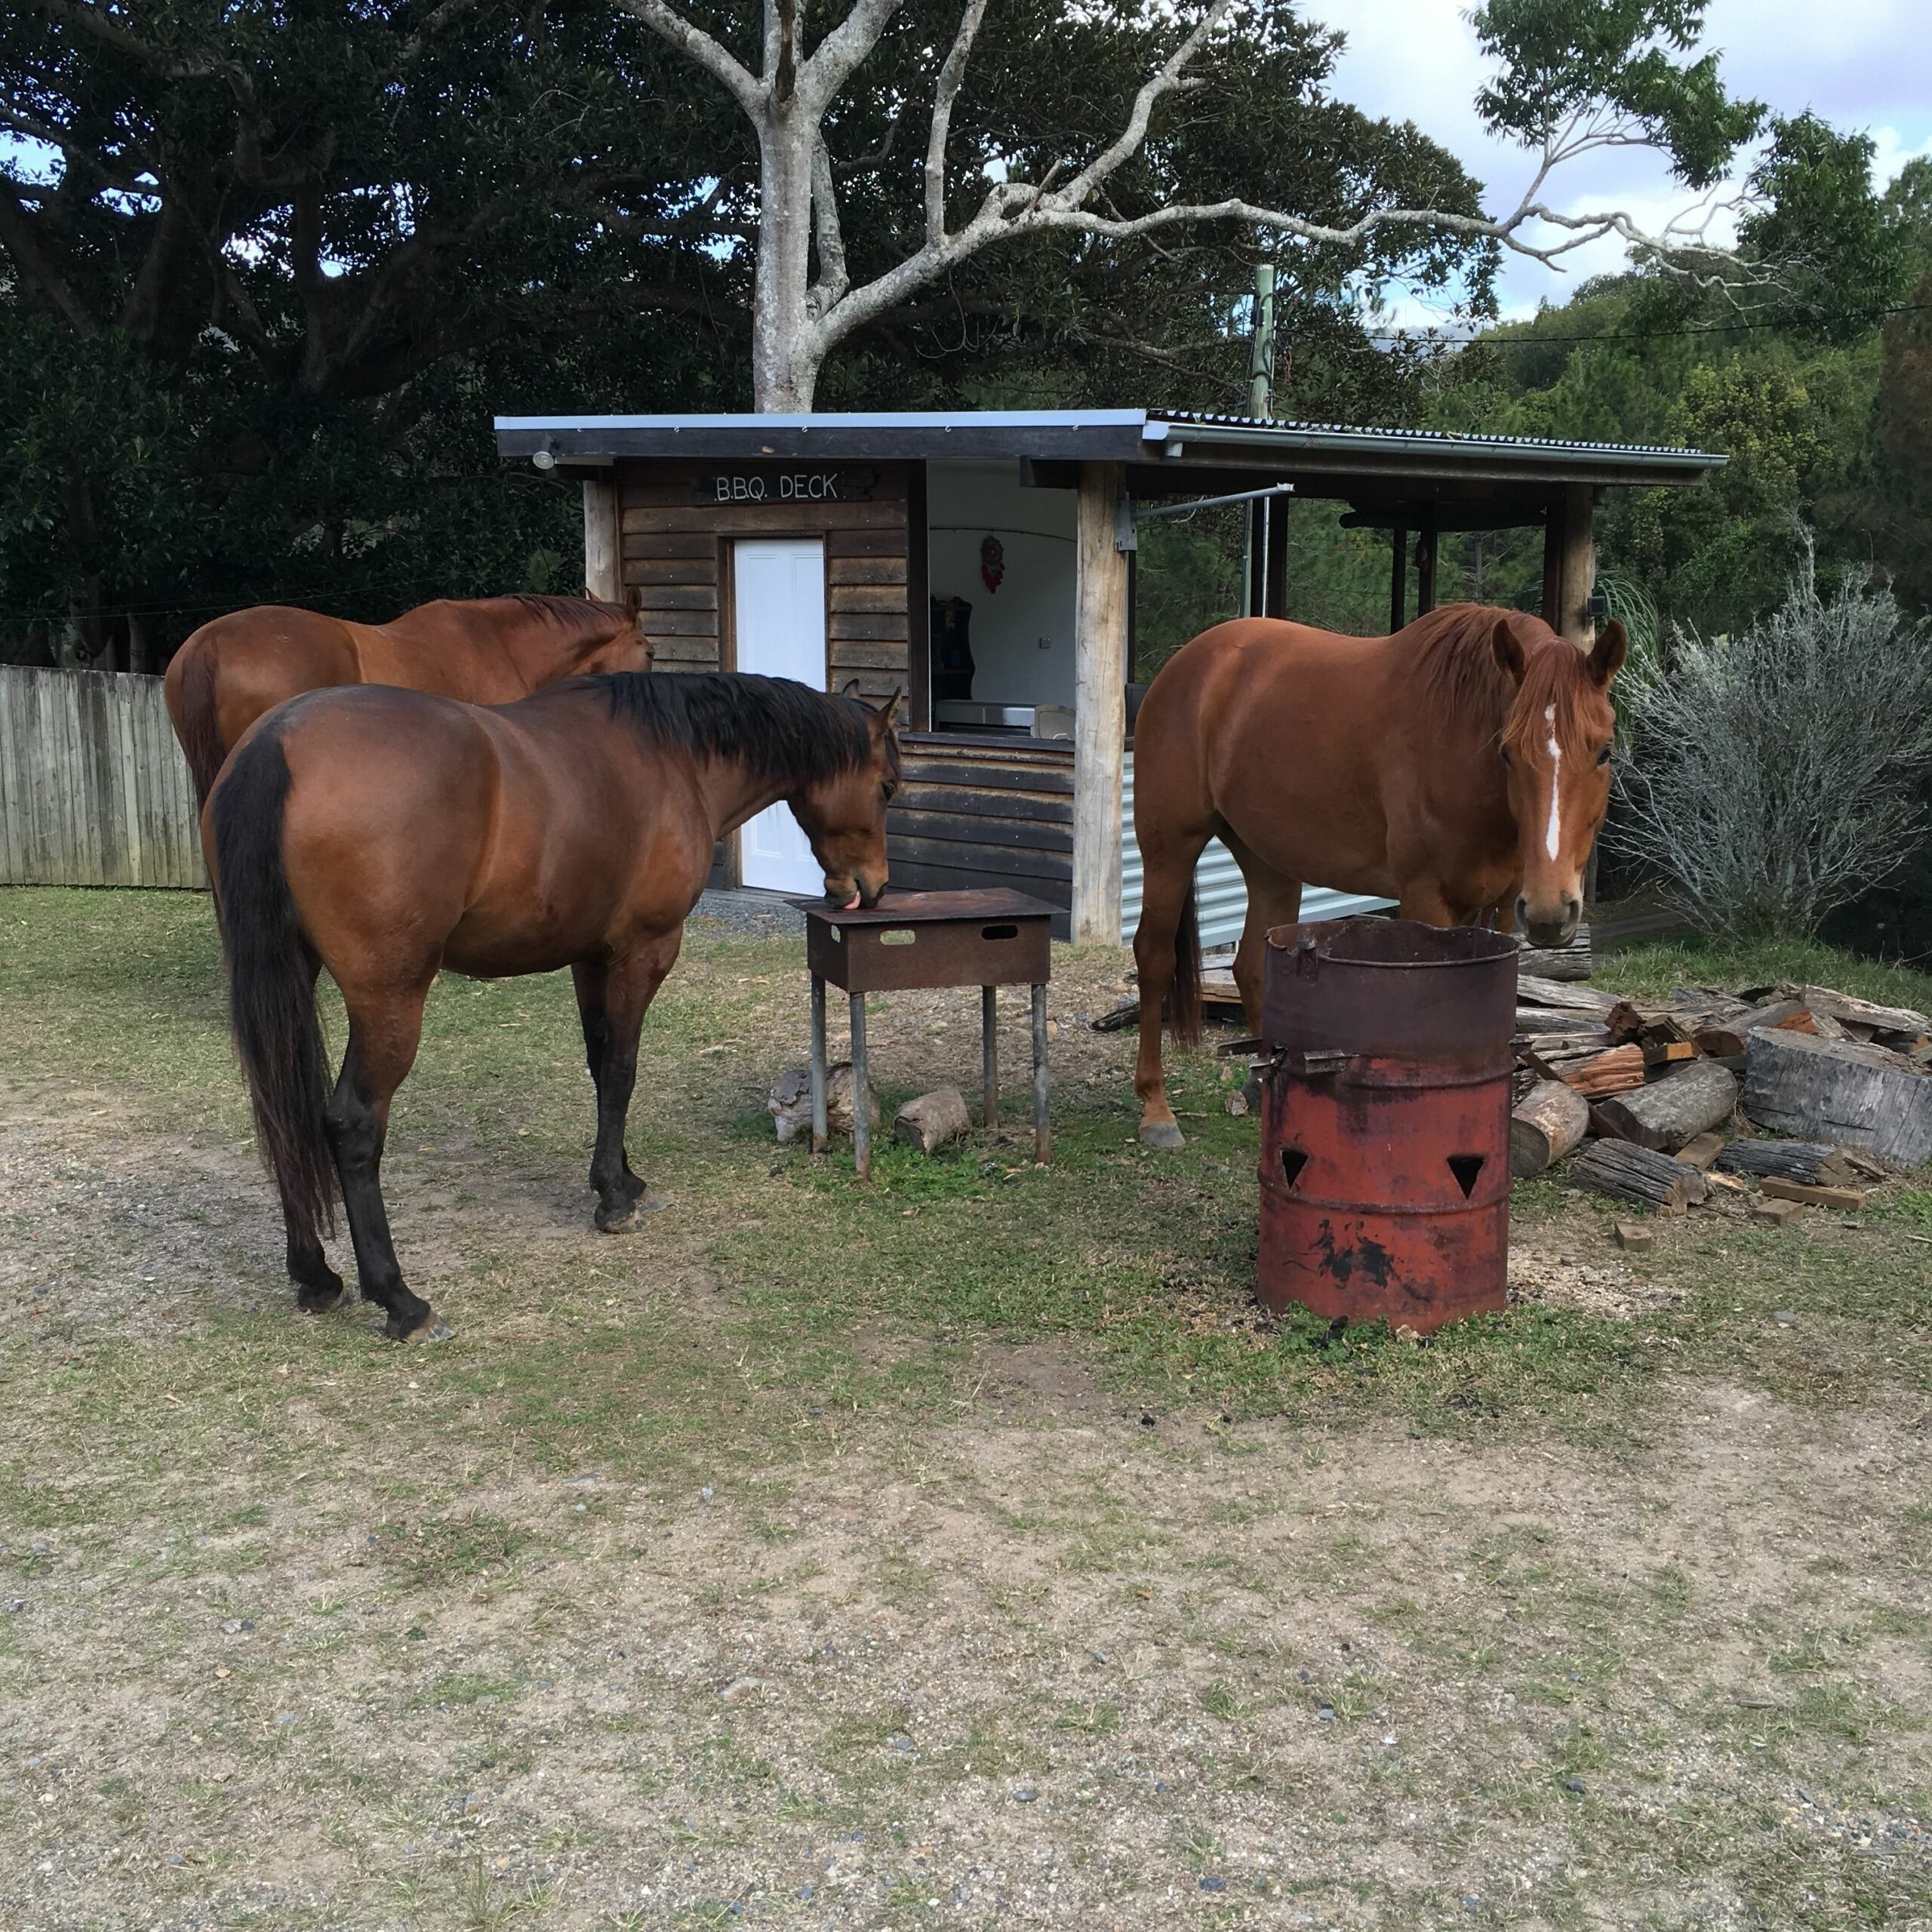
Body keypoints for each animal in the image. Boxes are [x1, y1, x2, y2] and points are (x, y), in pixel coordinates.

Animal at [208, 672, 900, 1337]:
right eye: (888, 786)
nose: (872, 887)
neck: (673, 755)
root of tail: (278, 741)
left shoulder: (591, 957)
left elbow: (600, 1065)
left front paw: (624, 1178)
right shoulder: (643, 952)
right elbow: (621, 1069)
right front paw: (614, 1199)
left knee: (284, 1109)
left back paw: (315, 1274)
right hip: (390, 1001)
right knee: (353, 1124)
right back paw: (400, 1300)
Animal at [1128, 602, 1623, 1143]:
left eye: (1604, 751)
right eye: (1507, 751)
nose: (1553, 910)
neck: (1457, 733)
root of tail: (1186, 664)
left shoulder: (1499, 907)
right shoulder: (1425, 899)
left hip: (1270, 863)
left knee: (1251, 967)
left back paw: (1263, 1090)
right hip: (1170, 848)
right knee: (1154, 960)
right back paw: (1156, 1111)